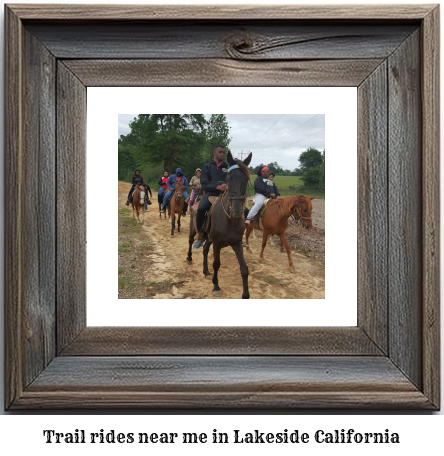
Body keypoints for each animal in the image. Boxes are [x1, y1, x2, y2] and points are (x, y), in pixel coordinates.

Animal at [186, 151, 251, 300]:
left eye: (246, 179)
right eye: (229, 178)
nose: (237, 211)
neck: (230, 220)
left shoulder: (236, 243)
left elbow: (244, 268)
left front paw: (245, 294)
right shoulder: (216, 242)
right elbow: (216, 264)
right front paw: (216, 286)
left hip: (209, 238)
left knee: (204, 250)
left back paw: (206, 272)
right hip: (194, 230)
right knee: (191, 241)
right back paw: (189, 257)